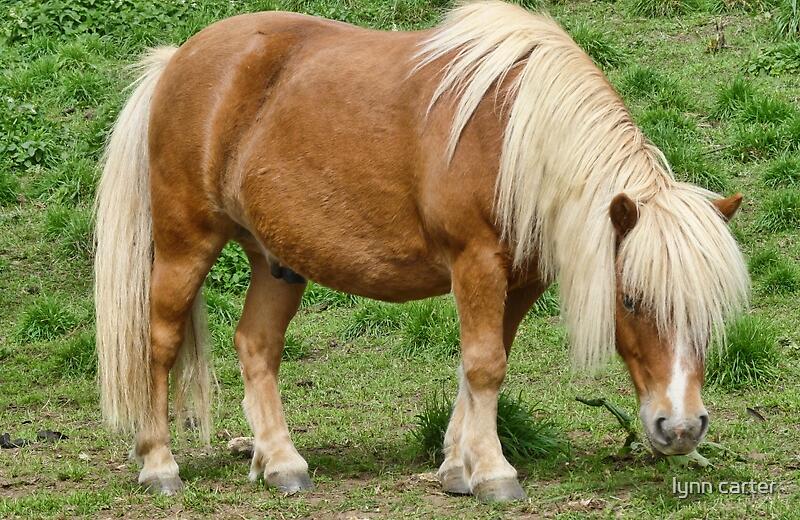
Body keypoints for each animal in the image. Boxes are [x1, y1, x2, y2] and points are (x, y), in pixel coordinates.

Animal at [94, 0, 750, 502]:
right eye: (632, 301)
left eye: (709, 312)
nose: (682, 426)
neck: (515, 136)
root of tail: (176, 60)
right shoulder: (476, 262)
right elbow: (485, 365)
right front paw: (494, 473)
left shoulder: (519, 281)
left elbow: (478, 364)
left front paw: (459, 467)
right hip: (185, 245)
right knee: (159, 342)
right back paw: (158, 464)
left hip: (277, 262)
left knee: (256, 345)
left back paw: (280, 463)